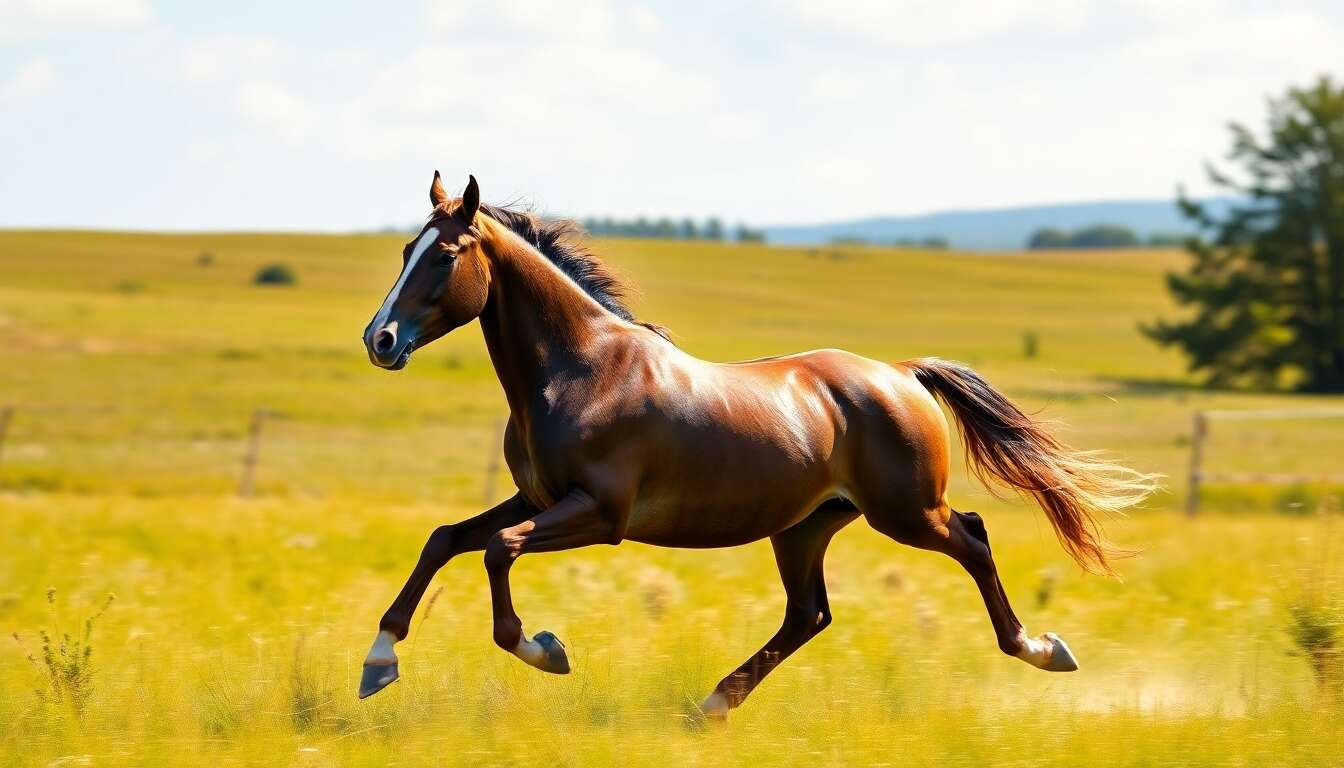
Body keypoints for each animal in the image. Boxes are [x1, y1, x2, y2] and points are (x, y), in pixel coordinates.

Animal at [356, 172, 1156, 718]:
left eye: (445, 254)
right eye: (404, 250)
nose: (380, 340)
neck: (582, 369)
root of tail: (901, 374)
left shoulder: (600, 514)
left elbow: (497, 550)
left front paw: (545, 650)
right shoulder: (537, 496)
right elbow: (446, 538)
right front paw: (378, 662)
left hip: (908, 513)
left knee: (975, 540)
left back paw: (1042, 650)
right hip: (805, 526)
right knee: (810, 615)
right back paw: (710, 707)